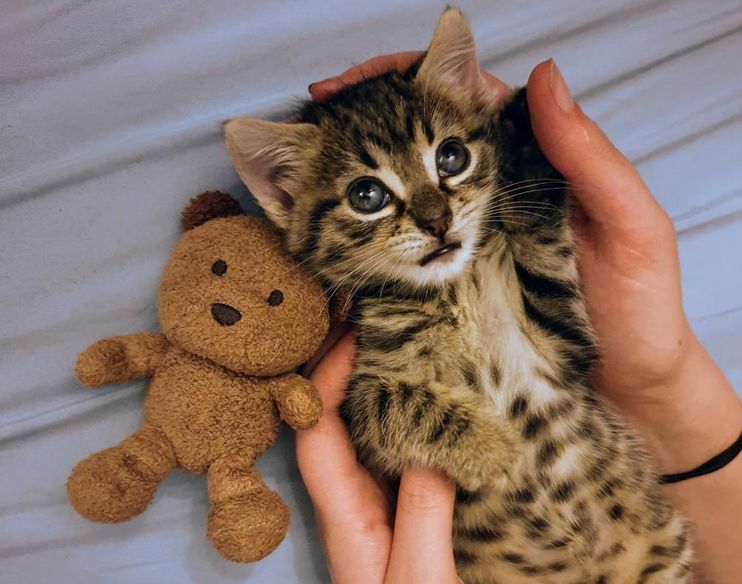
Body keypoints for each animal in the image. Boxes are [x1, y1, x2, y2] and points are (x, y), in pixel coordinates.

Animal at [225, 9, 692, 584]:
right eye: (366, 195)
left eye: (451, 157)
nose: (438, 220)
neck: (454, 291)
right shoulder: (359, 413)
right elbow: (398, 403)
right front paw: (494, 450)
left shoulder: (563, 346)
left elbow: (543, 246)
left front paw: (524, 130)